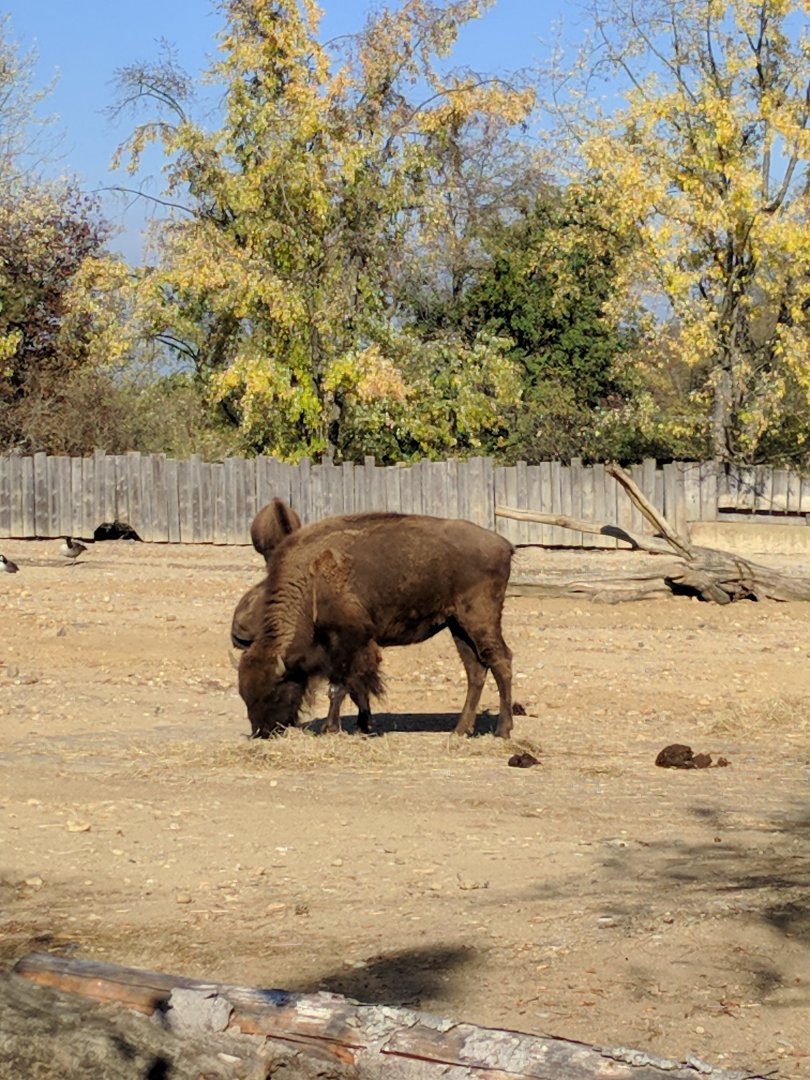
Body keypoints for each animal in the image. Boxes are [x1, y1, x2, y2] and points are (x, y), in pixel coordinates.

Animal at [238, 507, 515, 738]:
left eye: (272, 691)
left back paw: (502, 730)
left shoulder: (347, 642)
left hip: (479, 619)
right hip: (457, 626)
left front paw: (331, 728)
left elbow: (340, 686)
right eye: (244, 694)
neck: (311, 580)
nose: (262, 732)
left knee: (501, 661)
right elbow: (356, 686)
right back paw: (460, 730)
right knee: (476, 670)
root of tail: (503, 544)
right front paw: (362, 725)